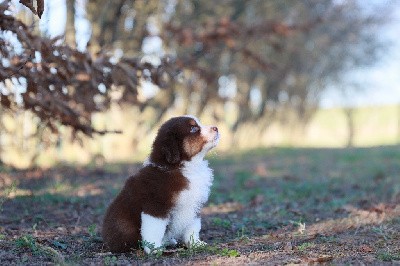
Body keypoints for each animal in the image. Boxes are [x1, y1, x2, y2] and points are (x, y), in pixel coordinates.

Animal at [100, 115, 219, 252]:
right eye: (193, 128)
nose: (216, 128)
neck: (183, 167)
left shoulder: (193, 205)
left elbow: (192, 228)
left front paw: (195, 244)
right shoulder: (156, 207)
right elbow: (154, 230)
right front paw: (154, 249)